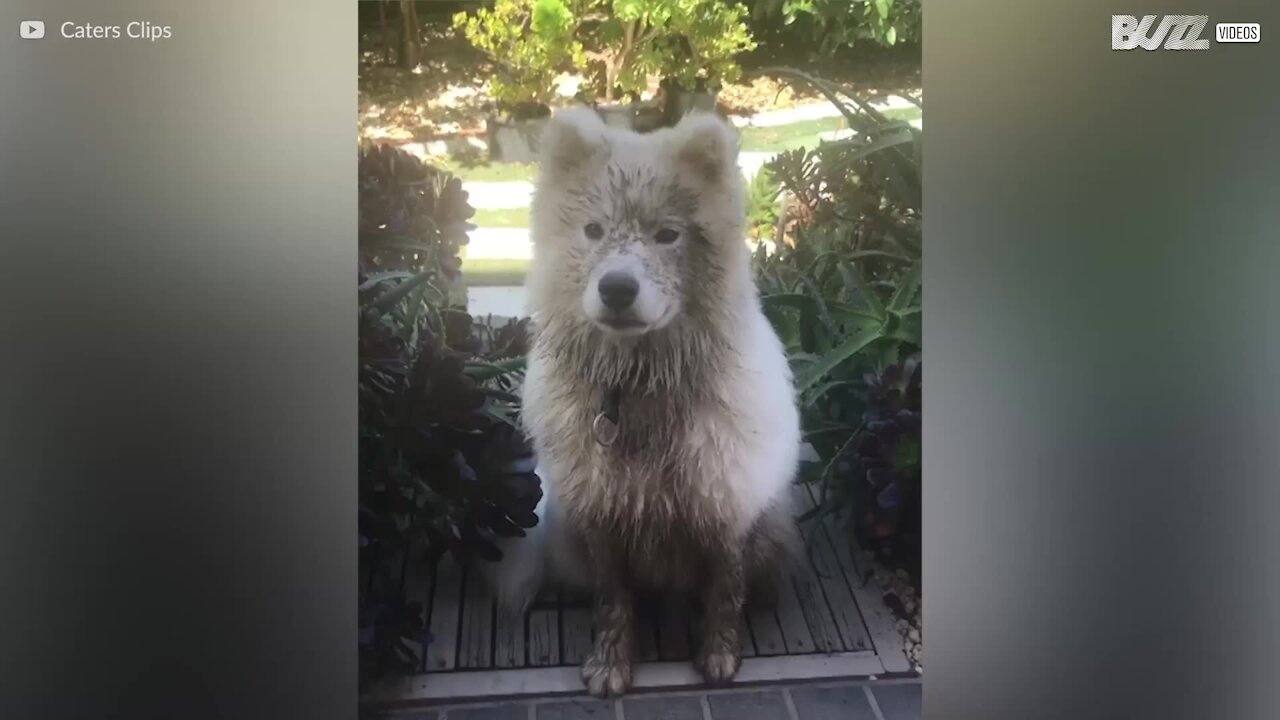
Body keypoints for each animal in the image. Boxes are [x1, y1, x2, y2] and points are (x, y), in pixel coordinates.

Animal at [481, 106, 798, 696]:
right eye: (593, 231)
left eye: (667, 235)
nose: (617, 288)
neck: (637, 385)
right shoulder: (602, 522)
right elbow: (614, 604)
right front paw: (610, 666)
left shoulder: (724, 513)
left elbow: (723, 594)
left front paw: (719, 657)